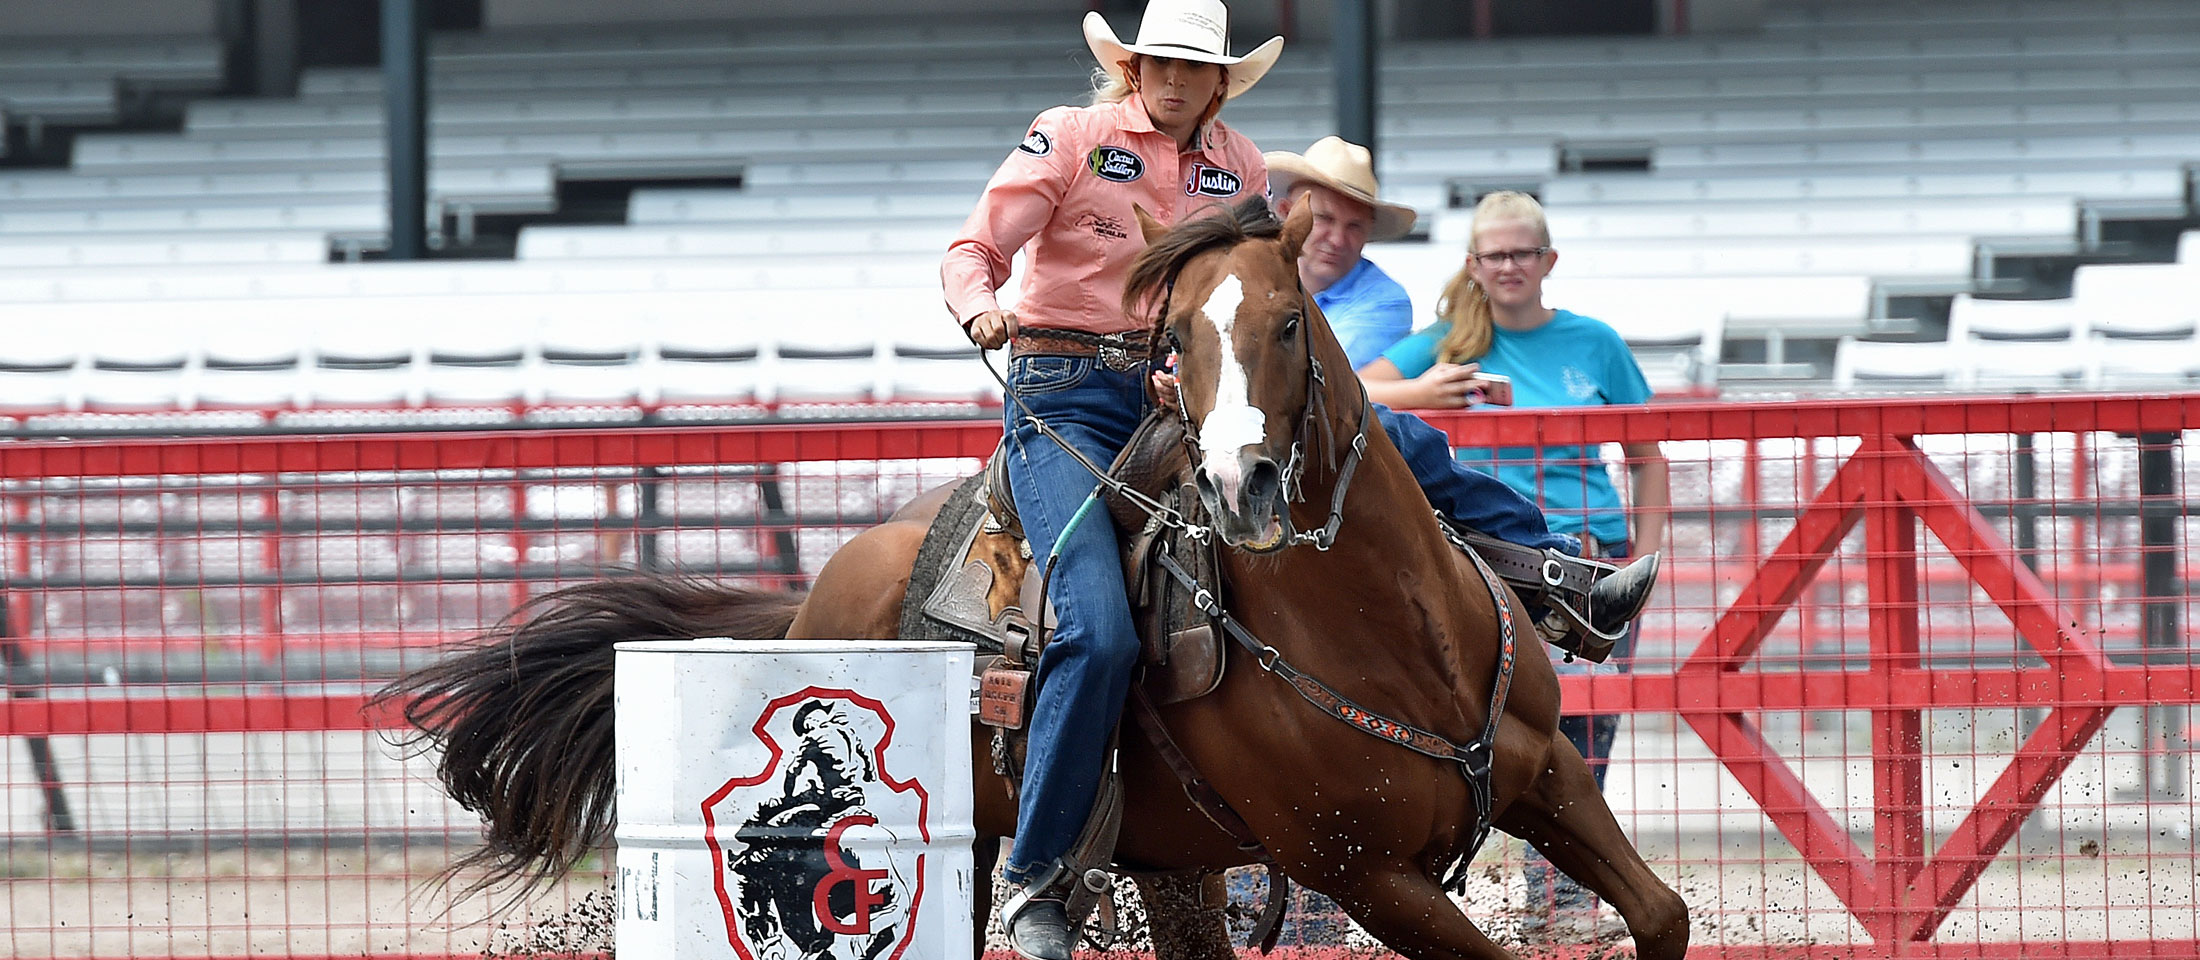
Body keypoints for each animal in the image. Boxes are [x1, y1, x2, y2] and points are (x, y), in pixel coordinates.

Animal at [382, 197, 1680, 960]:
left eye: (1288, 325)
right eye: (1174, 343)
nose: (1242, 487)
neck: (1394, 639)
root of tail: (821, 592)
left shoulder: (1552, 780)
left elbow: (1659, 917)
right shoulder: (1361, 874)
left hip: (1175, 863)